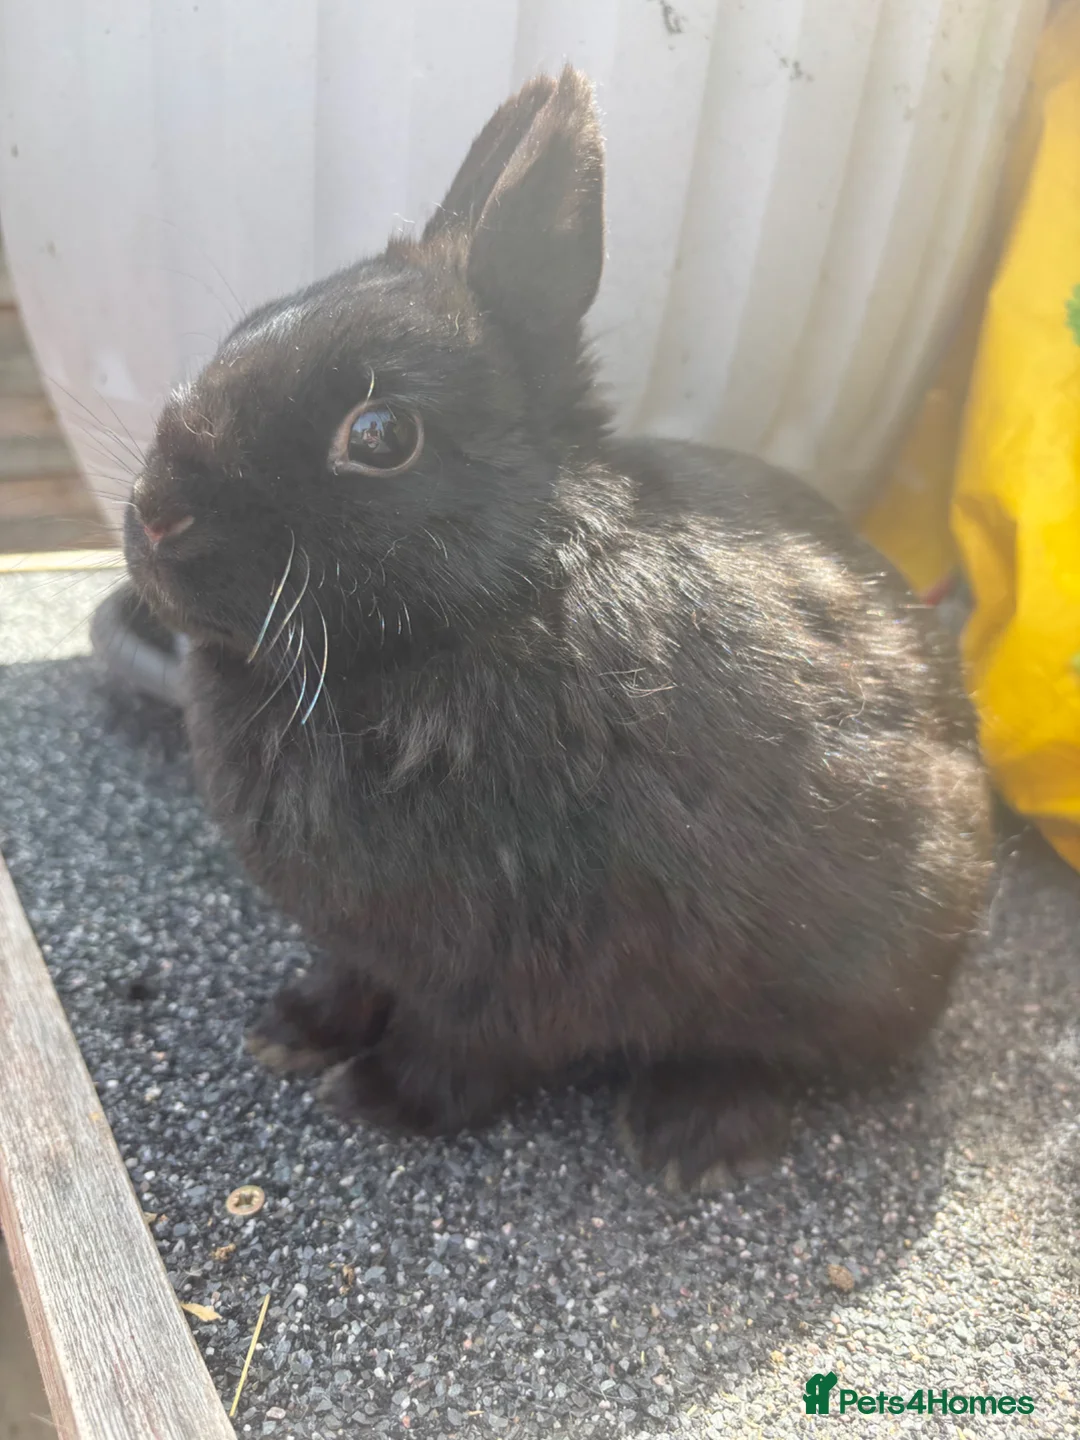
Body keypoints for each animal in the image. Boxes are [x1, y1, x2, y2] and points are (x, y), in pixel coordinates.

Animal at [124, 67, 992, 1192]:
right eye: (251, 324)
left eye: (378, 436)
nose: (154, 515)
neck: (502, 598)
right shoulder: (366, 940)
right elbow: (349, 975)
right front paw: (292, 1031)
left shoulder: (516, 961)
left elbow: (466, 1048)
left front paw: (380, 1097)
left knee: (777, 1053)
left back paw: (688, 1133)